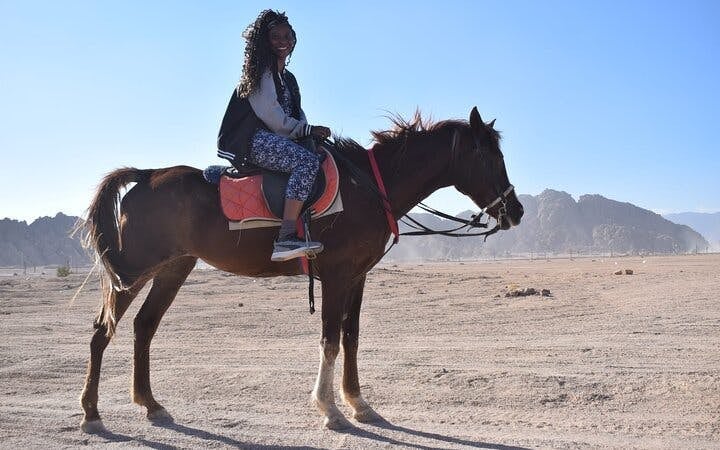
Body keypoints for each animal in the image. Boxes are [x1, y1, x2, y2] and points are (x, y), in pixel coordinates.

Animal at [78, 107, 524, 432]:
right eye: (491, 157)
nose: (516, 210)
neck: (369, 187)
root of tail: (147, 176)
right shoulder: (337, 276)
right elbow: (329, 340)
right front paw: (330, 410)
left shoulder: (358, 277)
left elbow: (350, 338)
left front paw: (359, 403)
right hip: (134, 270)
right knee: (102, 330)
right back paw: (91, 412)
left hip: (173, 268)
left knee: (143, 327)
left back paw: (151, 405)